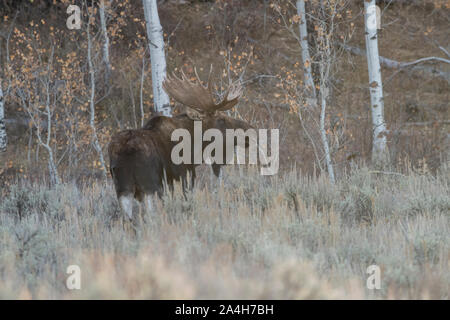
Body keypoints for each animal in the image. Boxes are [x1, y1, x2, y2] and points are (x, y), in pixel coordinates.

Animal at [108, 69, 253, 221]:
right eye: (221, 120)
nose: (250, 129)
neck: (196, 147)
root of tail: (125, 150)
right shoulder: (186, 172)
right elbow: (187, 198)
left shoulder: (169, 181)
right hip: (148, 184)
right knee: (150, 212)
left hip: (123, 187)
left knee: (127, 218)